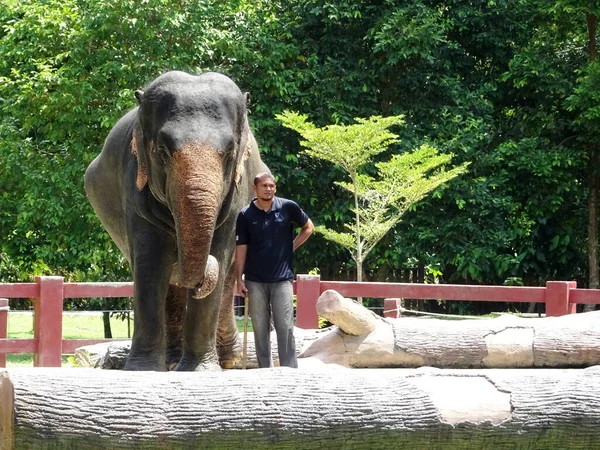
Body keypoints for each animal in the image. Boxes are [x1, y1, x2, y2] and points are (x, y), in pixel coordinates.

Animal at [85, 70, 270, 370]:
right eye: (162, 151)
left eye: (230, 152)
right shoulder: (135, 186)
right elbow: (150, 264)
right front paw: (143, 369)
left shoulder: (236, 196)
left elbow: (219, 254)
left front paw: (200, 370)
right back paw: (172, 362)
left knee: (227, 278)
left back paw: (229, 360)